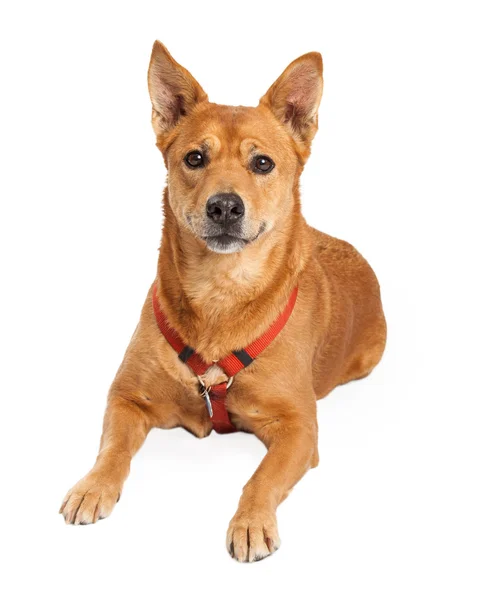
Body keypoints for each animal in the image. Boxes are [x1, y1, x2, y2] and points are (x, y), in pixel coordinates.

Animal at [60, 41, 388, 564]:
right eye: (195, 157)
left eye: (263, 164)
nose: (225, 206)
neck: (220, 292)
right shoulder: (127, 396)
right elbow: (111, 449)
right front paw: (93, 486)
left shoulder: (299, 428)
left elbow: (261, 478)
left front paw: (251, 521)